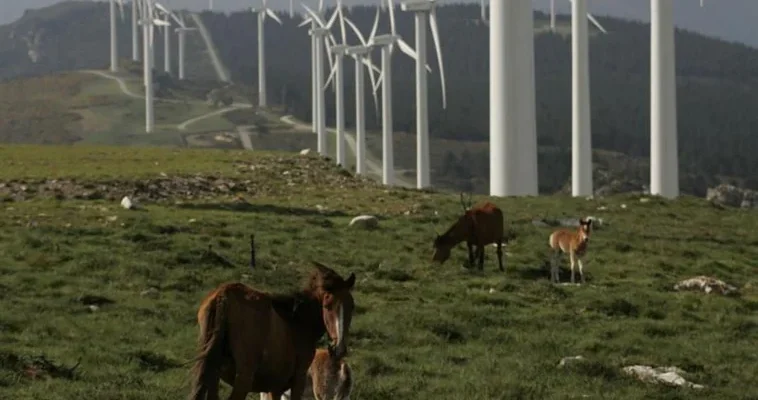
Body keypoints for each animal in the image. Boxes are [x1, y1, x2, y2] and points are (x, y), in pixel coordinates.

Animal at [189, 262, 358, 400]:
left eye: (351, 306)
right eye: (327, 306)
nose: (339, 349)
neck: (297, 322)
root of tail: (224, 295)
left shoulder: (274, 388)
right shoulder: (298, 379)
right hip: (244, 379)